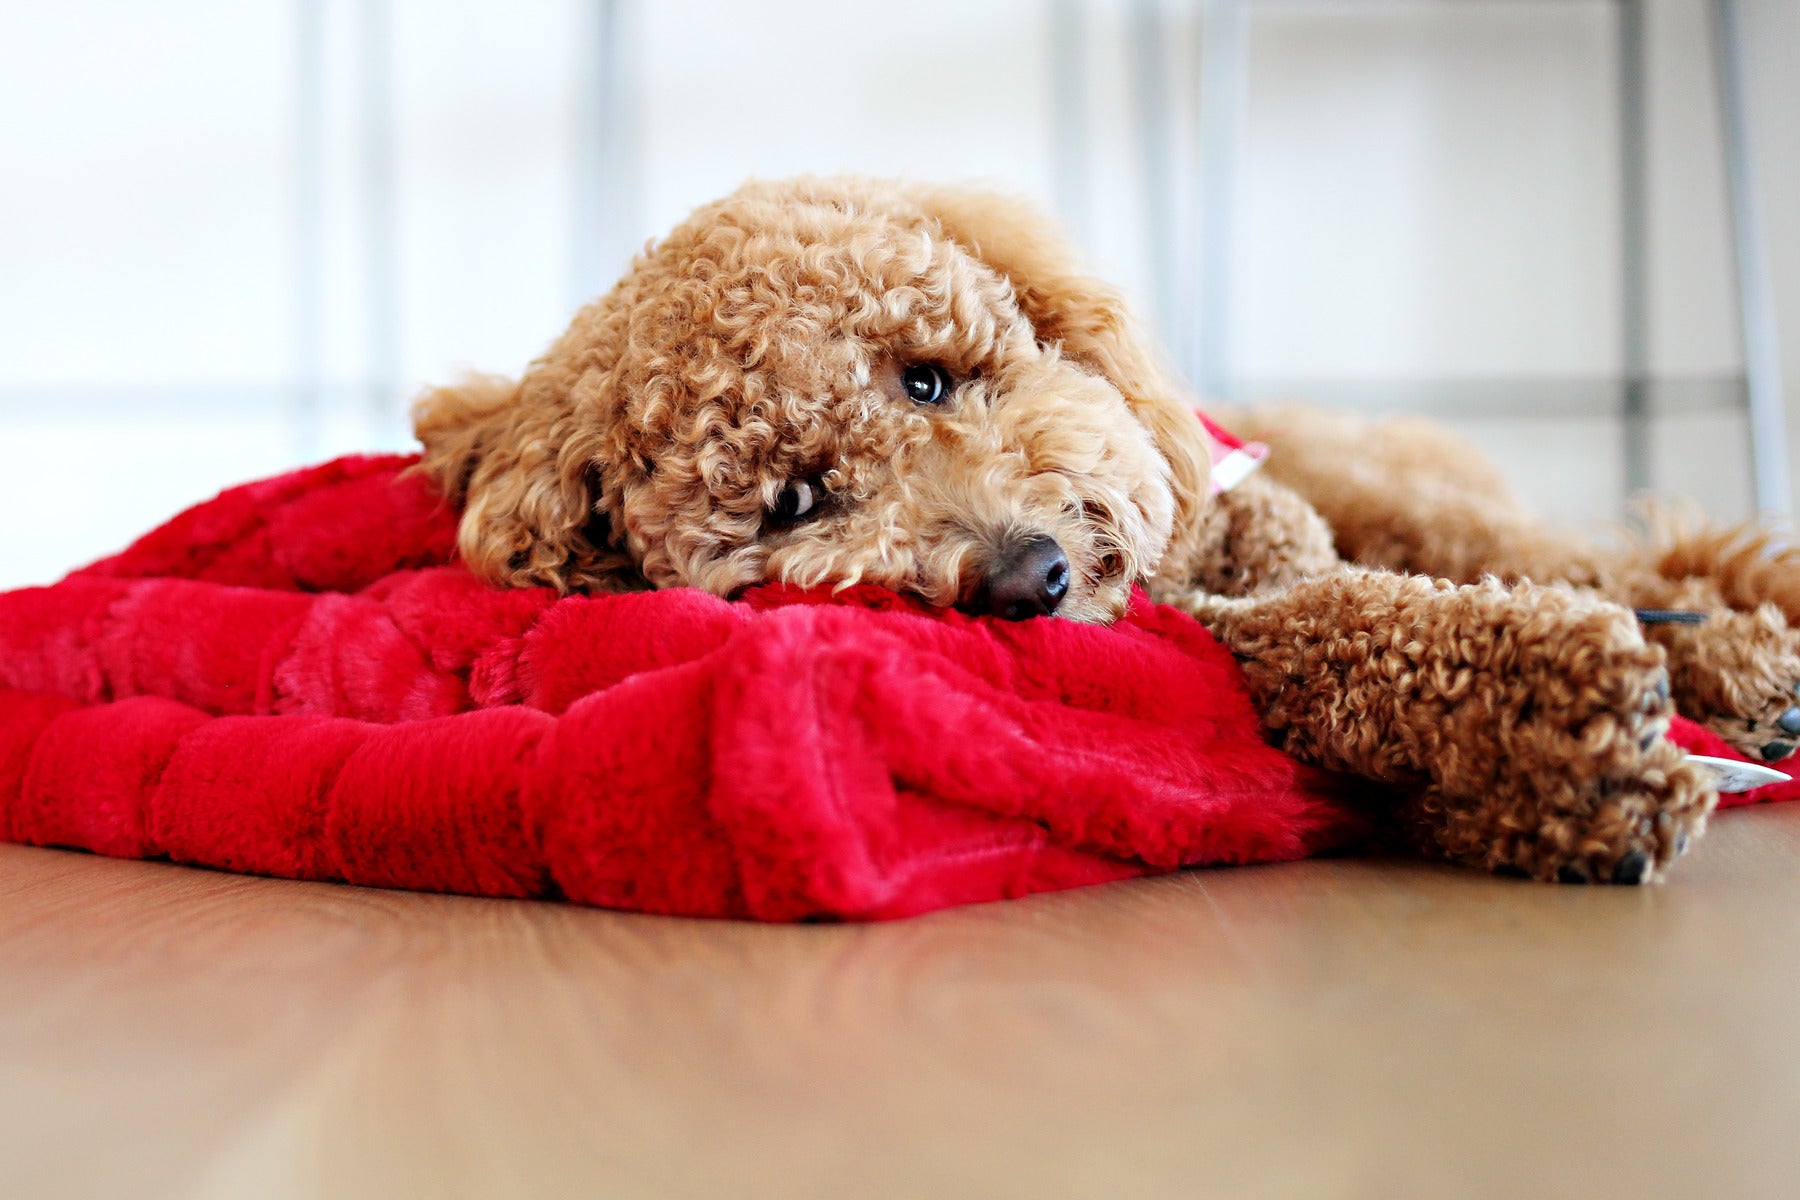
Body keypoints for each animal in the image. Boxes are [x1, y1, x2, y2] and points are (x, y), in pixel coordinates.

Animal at [414, 180, 1720, 892]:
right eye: (794, 503)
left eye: (929, 379)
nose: (1026, 572)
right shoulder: (1227, 635)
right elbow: (1331, 641)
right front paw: (1576, 756)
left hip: (1392, 485)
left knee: (1565, 550)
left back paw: (1740, 645)